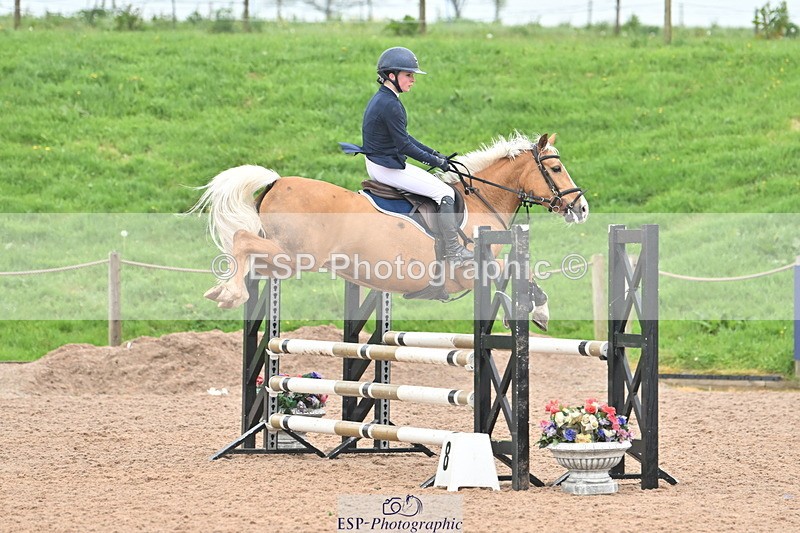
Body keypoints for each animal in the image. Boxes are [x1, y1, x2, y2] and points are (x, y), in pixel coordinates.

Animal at [191, 132, 589, 329]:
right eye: (555, 168)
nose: (582, 207)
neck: (482, 202)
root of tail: (276, 180)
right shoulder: (470, 272)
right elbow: (520, 270)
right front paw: (541, 310)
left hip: (284, 259)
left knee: (248, 251)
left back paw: (223, 288)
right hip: (296, 257)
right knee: (241, 240)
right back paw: (229, 293)